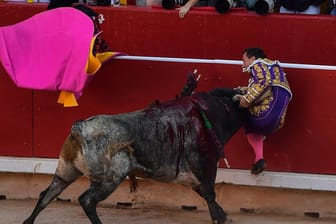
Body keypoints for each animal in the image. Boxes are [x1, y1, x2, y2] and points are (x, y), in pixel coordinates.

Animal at [23, 90, 244, 224]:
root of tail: (80, 127)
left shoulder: (192, 174)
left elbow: (205, 194)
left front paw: (222, 216)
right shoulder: (206, 166)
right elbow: (209, 194)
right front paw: (220, 218)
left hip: (66, 170)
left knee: (47, 194)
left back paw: (28, 221)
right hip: (108, 179)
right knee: (87, 200)